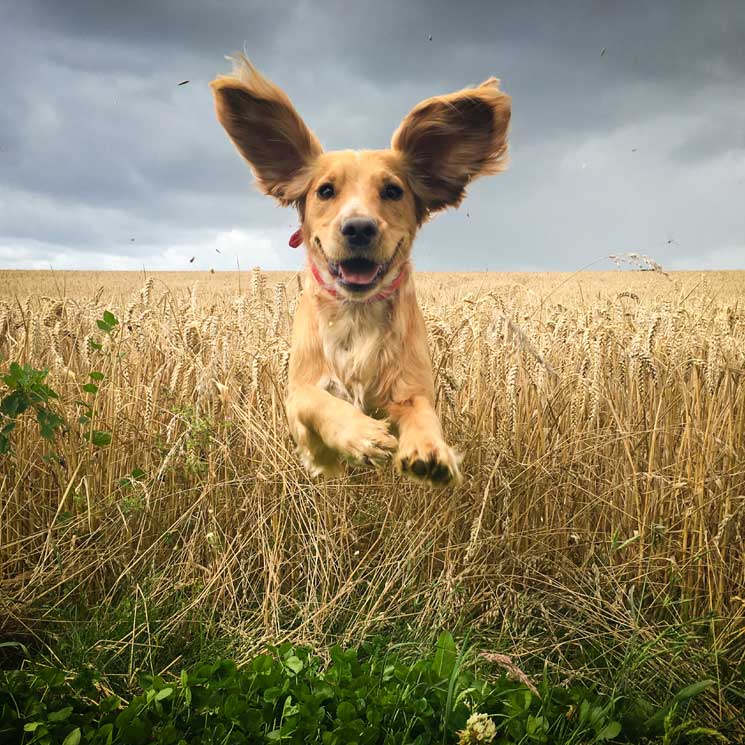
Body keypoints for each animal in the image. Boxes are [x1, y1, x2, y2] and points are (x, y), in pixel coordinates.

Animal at [211, 56, 512, 482]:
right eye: (325, 190)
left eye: (393, 191)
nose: (358, 228)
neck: (356, 315)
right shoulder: (297, 395)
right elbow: (319, 403)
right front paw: (361, 436)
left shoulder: (412, 387)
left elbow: (424, 415)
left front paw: (429, 451)